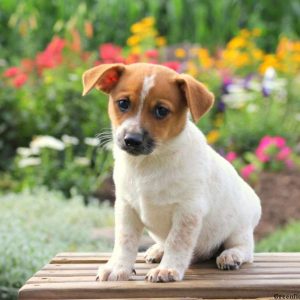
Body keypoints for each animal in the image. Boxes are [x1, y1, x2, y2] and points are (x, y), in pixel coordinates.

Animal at [81, 62, 260, 282]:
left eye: (161, 110)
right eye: (123, 103)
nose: (131, 140)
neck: (147, 164)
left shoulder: (188, 211)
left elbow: (177, 242)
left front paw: (167, 269)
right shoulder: (126, 207)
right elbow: (125, 241)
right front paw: (118, 267)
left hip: (239, 230)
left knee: (244, 249)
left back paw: (230, 256)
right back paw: (158, 250)